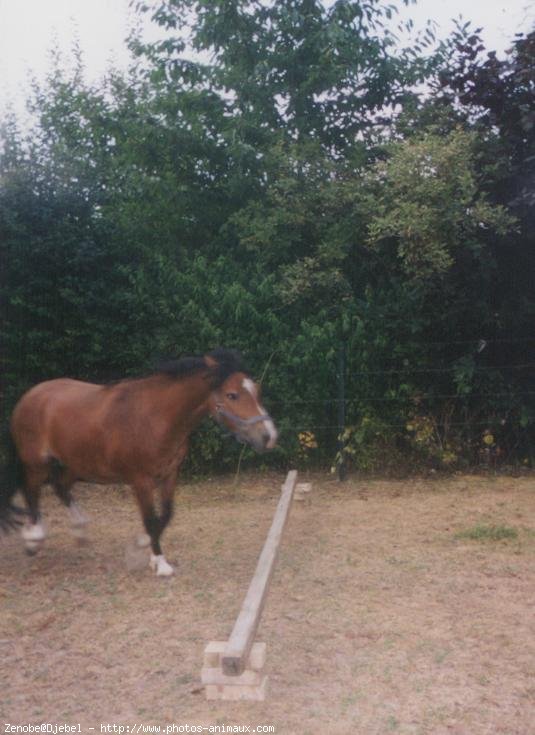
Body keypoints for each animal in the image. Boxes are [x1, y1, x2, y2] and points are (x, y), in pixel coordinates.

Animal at [0, 348, 276, 576]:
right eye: (232, 395)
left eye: (257, 391)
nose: (269, 436)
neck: (154, 418)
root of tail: (29, 396)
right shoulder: (140, 480)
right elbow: (151, 518)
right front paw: (160, 563)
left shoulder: (169, 474)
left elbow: (166, 514)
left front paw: (144, 547)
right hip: (36, 462)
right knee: (32, 491)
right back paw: (33, 537)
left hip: (76, 463)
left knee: (60, 486)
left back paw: (79, 528)